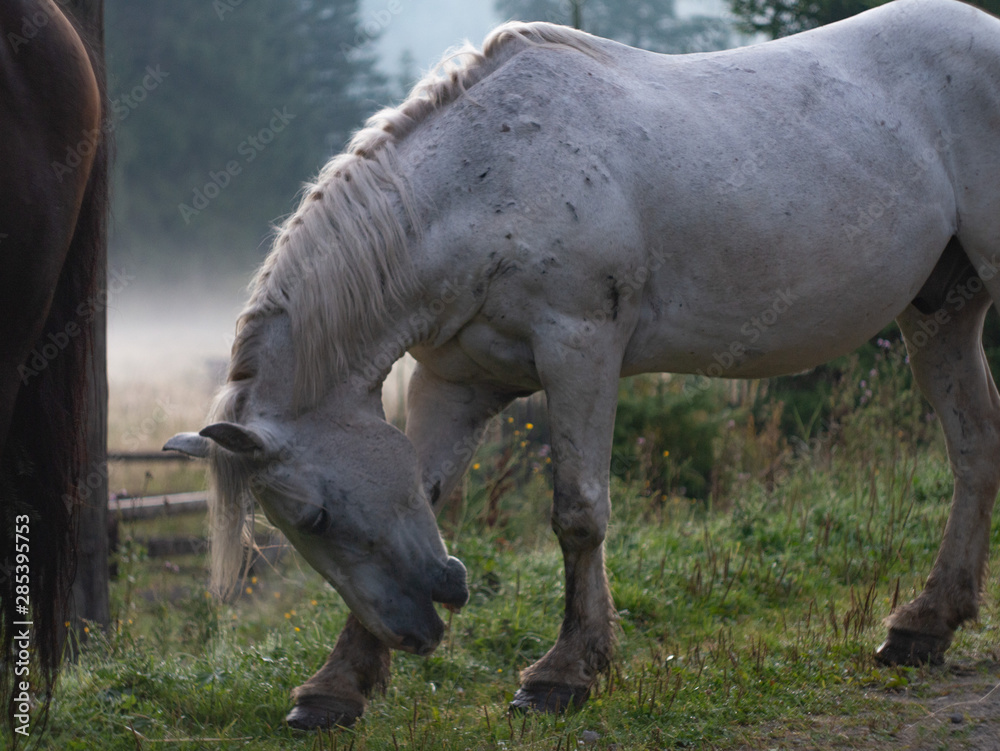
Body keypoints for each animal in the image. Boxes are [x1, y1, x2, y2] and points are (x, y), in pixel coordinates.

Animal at [166, 0, 1000, 728]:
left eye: (315, 514)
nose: (422, 623)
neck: (484, 180)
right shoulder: (455, 382)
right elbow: (428, 492)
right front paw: (336, 686)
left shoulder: (580, 348)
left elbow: (578, 512)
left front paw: (564, 671)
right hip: (941, 315)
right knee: (974, 446)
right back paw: (924, 624)